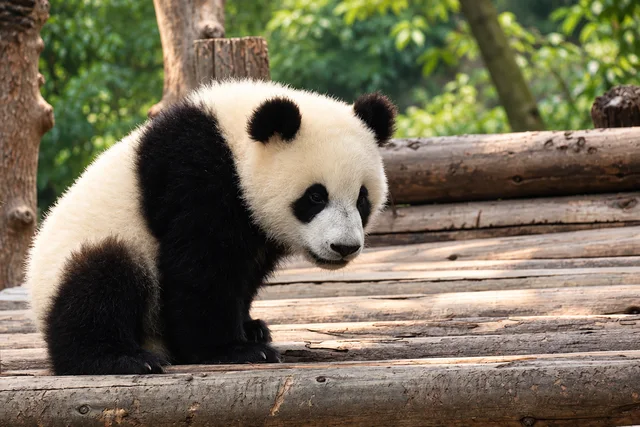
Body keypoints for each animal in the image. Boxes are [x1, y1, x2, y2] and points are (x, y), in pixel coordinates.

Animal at [25, 79, 396, 375]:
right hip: (88, 254)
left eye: (362, 199)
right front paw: (235, 349)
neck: (233, 141)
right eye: (316, 196)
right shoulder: (194, 176)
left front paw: (251, 328)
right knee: (101, 280)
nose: (344, 247)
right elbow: (200, 267)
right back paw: (119, 358)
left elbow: (243, 272)